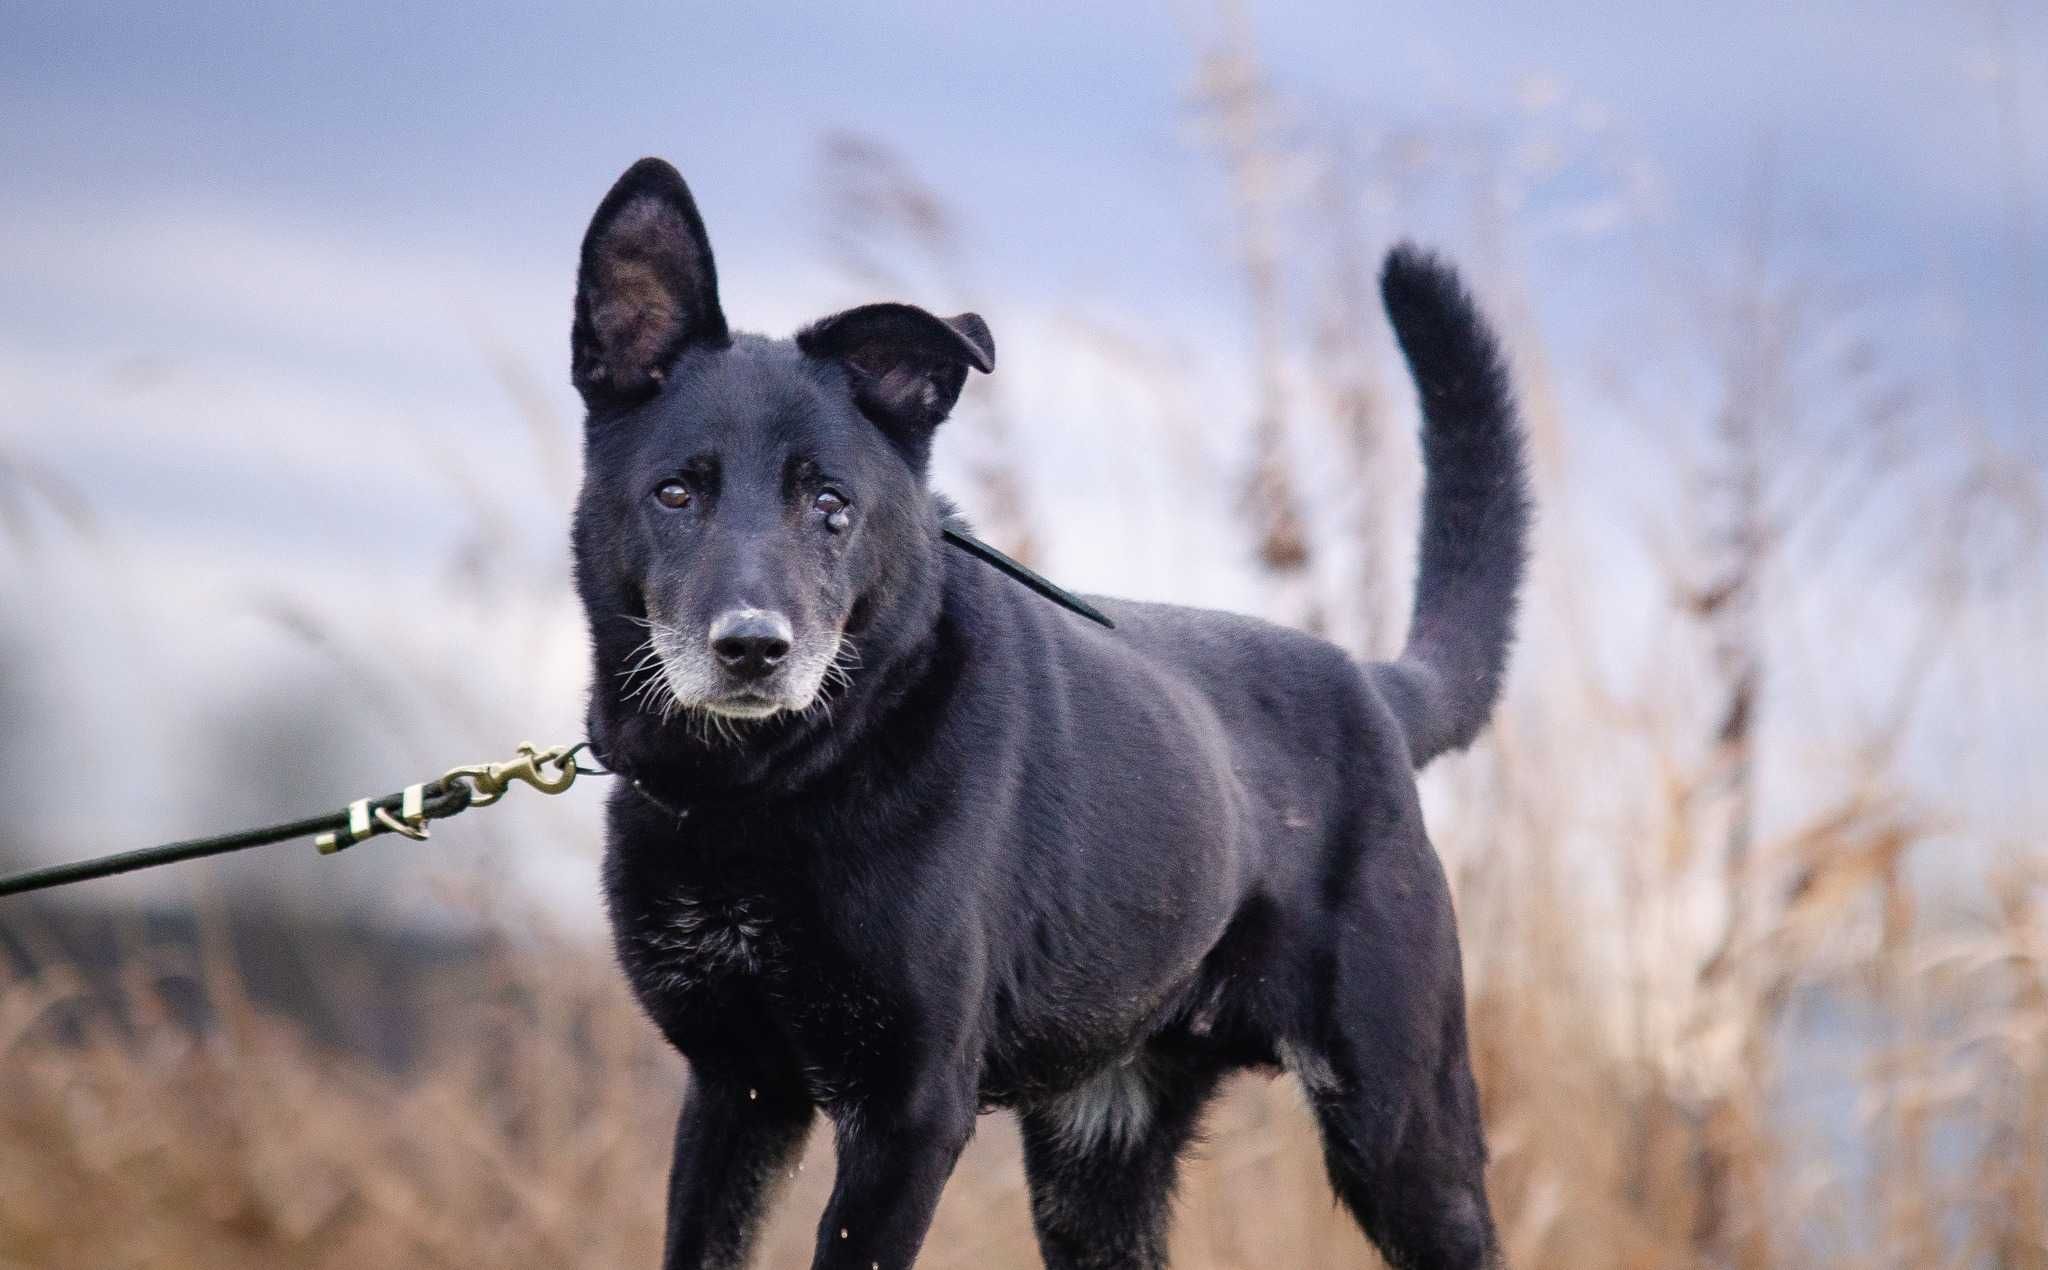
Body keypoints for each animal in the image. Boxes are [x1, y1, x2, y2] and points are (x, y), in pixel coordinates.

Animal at [569, 158, 1531, 1270]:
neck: (766, 786)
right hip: (1095, 1167)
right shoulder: (736, 1090)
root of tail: (1372, 689)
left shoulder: (906, 1114)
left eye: (831, 505)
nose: (753, 649)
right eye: (676, 494)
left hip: (1400, 1134)